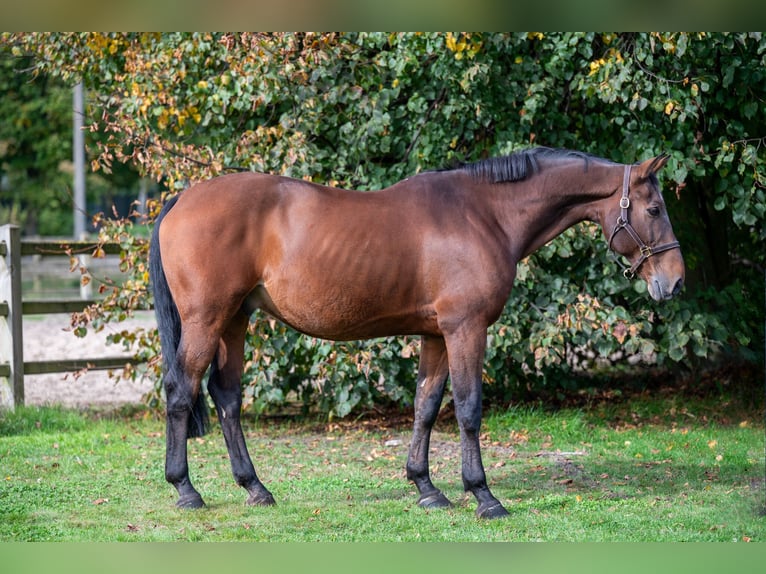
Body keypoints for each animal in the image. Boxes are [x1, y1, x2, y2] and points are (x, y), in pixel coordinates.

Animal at [148, 146, 684, 520]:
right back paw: (186, 490)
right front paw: (483, 496)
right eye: (654, 209)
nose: (675, 281)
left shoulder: (436, 334)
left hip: (235, 320)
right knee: (181, 391)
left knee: (226, 397)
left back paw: (255, 488)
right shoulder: (466, 329)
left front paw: (427, 488)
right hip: (207, 319)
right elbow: (468, 409)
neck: (484, 214)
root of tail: (182, 199)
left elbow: (426, 406)